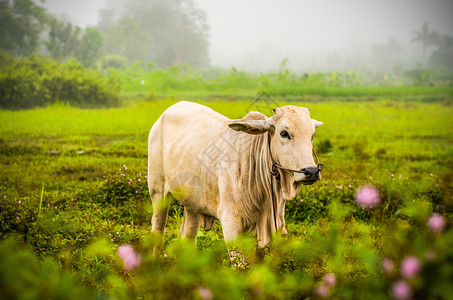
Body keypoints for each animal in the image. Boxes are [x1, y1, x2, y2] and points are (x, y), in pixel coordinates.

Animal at [147, 100, 322, 253]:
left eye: (312, 136)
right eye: (284, 133)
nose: (311, 171)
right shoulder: (230, 222)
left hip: (192, 201)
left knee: (187, 236)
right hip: (157, 191)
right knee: (157, 232)